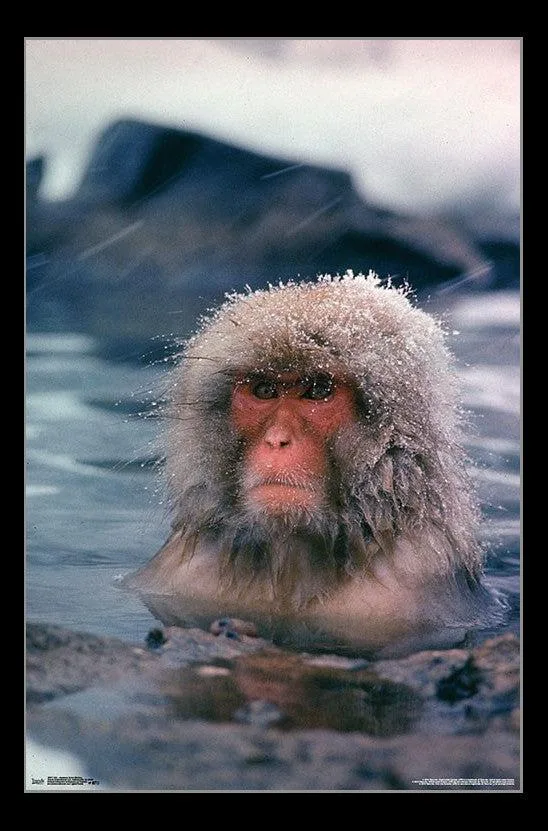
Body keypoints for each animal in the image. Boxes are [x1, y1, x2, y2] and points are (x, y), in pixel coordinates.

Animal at [123, 270, 505, 652]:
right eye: (264, 390)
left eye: (318, 390)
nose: (277, 440)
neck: (289, 562)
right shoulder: (182, 574)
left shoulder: (406, 587)